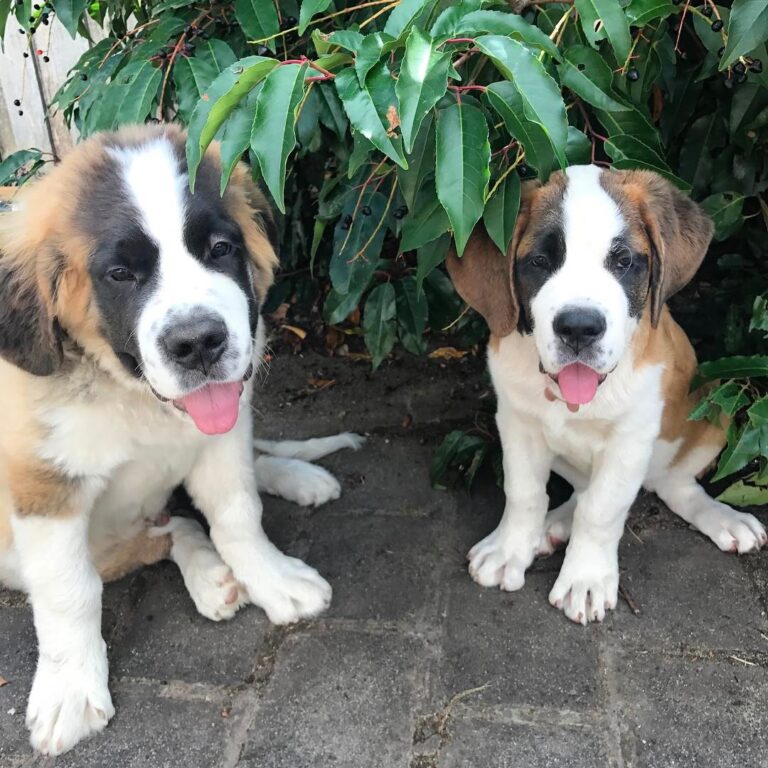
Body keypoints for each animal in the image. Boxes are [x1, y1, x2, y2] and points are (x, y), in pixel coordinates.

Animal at [0, 126, 360, 756]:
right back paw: (210, 576)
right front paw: (70, 689)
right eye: (120, 274)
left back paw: (292, 483)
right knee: (163, 533)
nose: (197, 344)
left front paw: (273, 578)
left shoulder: (222, 436)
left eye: (219, 248)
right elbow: (70, 590)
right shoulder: (43, 486)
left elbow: (238, 514)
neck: (133, 398)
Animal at [448, 166, 764, 624]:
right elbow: (524, 491)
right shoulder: (516, 421)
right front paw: (509, 550)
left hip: (714, 417)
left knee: (672, 484)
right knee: (581, 490)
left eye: (623, 261)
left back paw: (723, 518)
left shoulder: (629, 441)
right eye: (540, 262)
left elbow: (602, 510)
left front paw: (585, 579)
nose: (579, 328)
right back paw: (552, 526)